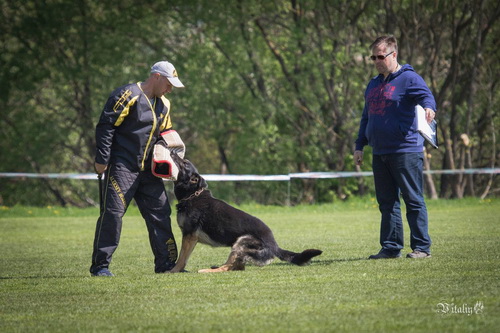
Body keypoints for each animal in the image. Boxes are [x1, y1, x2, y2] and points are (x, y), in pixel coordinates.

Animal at [168, 153, 324, 272]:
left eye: (185, 163)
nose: (172, 151)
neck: (192, 195)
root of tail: (275, 246)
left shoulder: (189, 236)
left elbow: (181, 258)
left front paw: (173, 271)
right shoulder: (190, 238)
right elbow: (184, 257)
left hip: (241, 241)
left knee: (228, 267)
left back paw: (208, 270)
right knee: (236, 267)